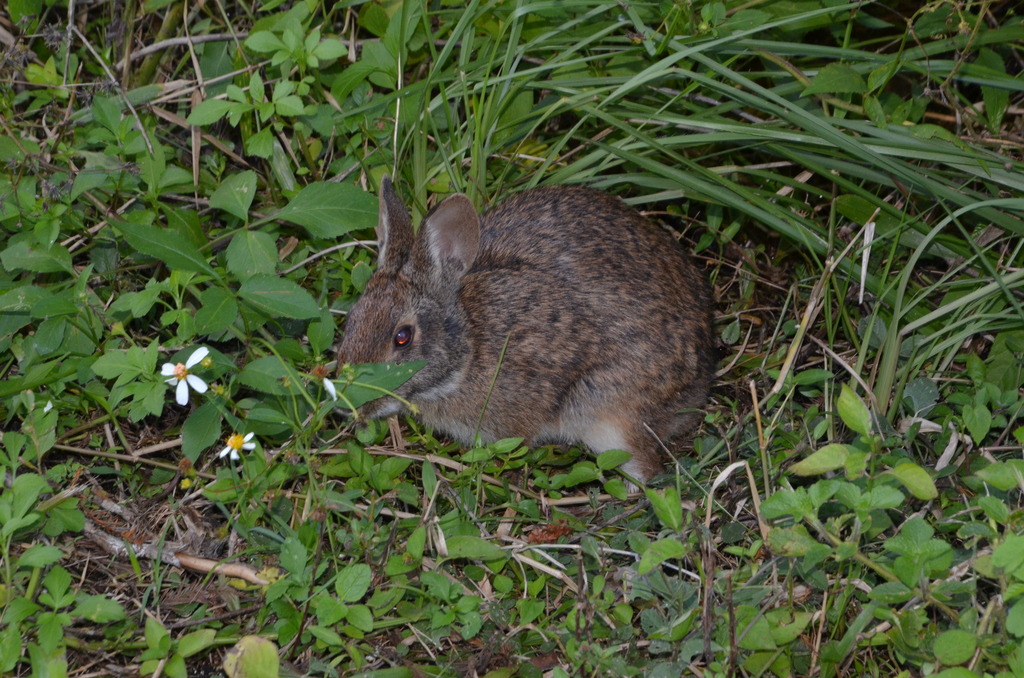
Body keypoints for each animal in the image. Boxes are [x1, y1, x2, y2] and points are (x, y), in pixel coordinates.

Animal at [337, 176, 715, 486]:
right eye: (352, 318)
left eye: (402, 337)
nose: (343, 405)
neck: (470, 348)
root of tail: (702, 378)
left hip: (611, 415)